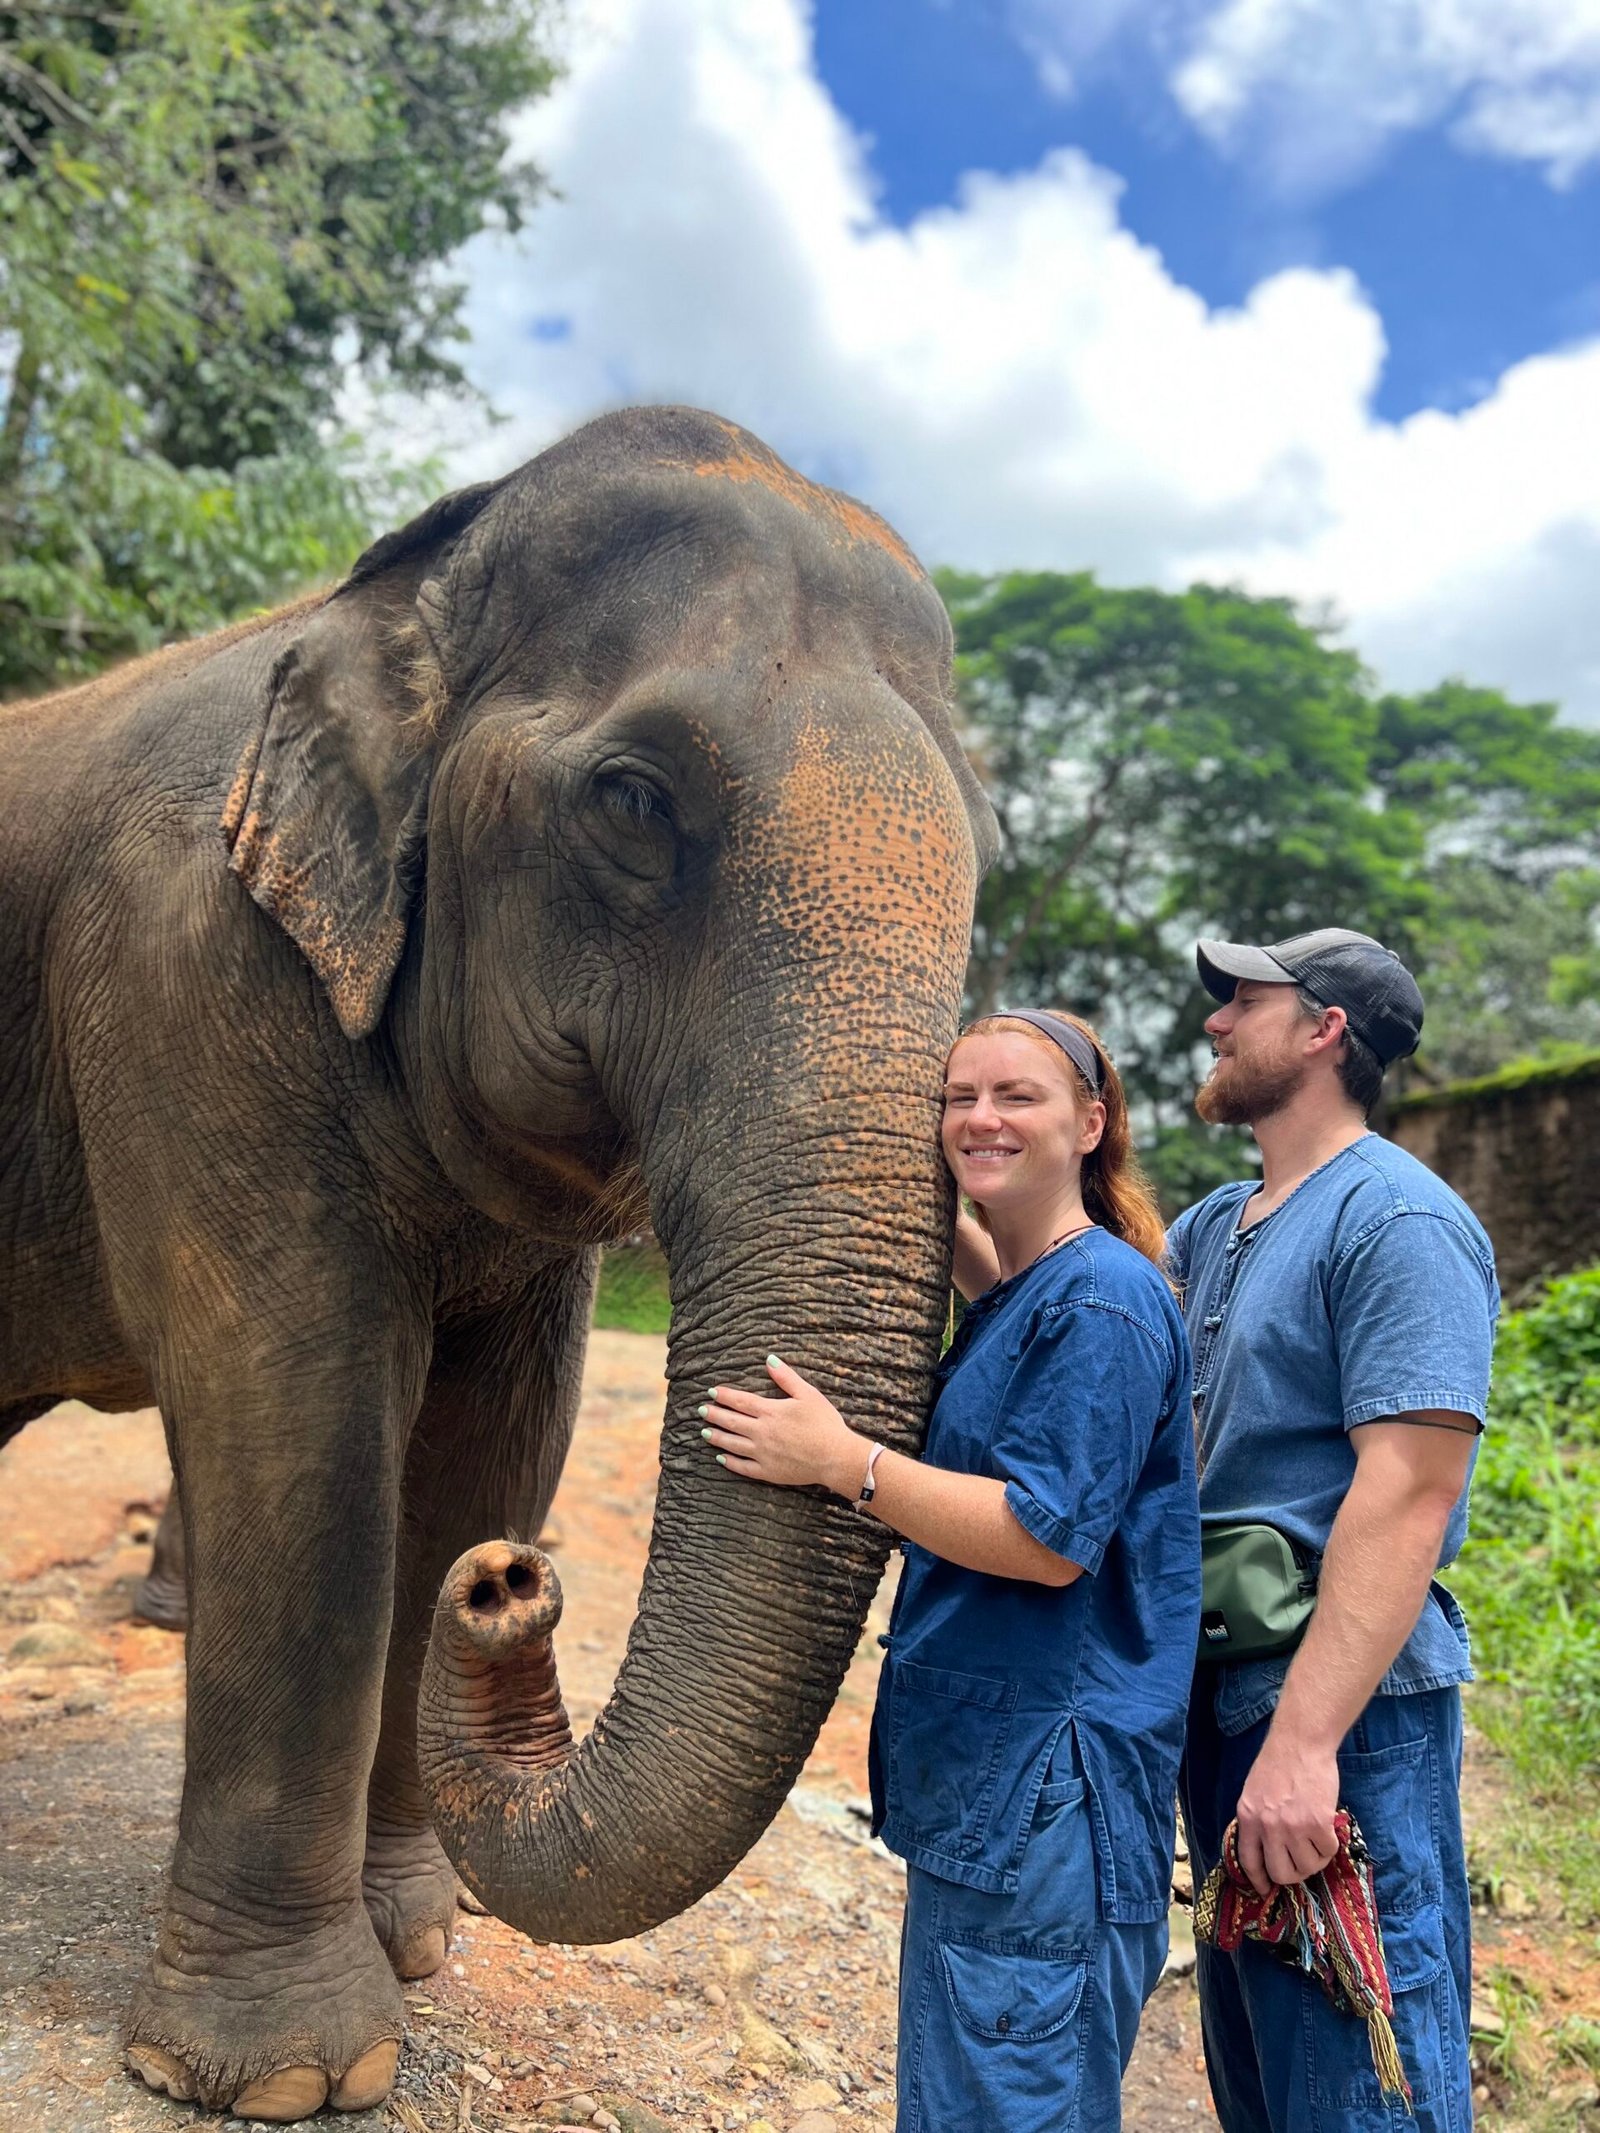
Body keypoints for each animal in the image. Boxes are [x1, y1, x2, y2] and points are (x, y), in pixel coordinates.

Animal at [0, 406, 997, 2120]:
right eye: (634, 802)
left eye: (992, 855)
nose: (511, 1590)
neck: (403, 593)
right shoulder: (180, 970)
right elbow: (305, 1438)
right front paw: (284, 2075)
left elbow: (493, 1440)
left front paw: (421, 1941)